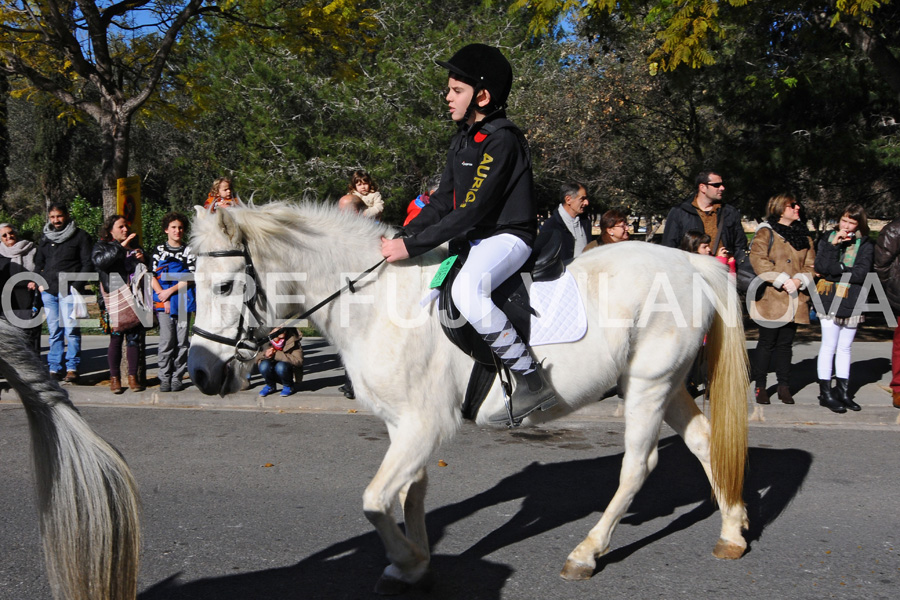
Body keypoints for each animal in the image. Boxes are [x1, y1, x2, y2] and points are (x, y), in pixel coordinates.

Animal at [188, 204, 752, 592]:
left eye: (224, 287)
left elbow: (375, 499)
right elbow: (410, 493)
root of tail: (693, 263)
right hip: (667, 385)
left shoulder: (421, 425)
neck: (377, 302)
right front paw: (413, 565)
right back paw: (733, 529)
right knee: (704, 442)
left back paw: (587, 552)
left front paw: (410, 560)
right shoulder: (405, 424)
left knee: (638, 466)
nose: (200, 373)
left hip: (647, 387)